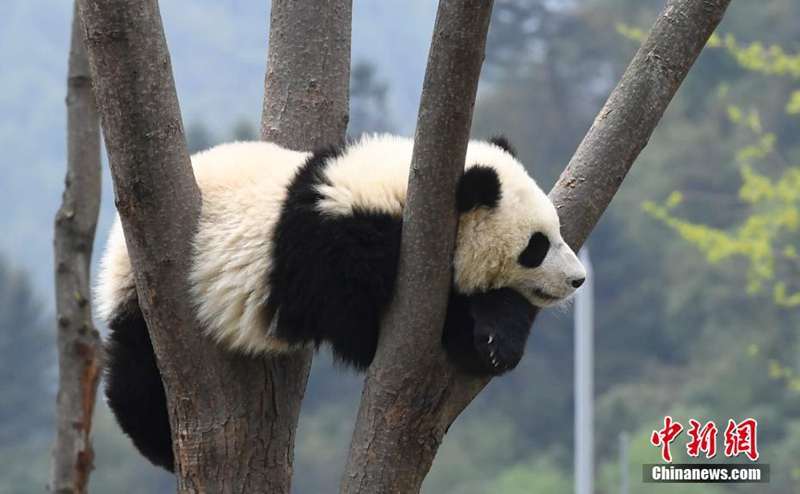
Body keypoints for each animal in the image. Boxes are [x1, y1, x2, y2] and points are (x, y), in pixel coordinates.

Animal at [96, 134, 586, 472]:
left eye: (559, 231)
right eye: (536, 246)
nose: (578, 279)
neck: (404, 194)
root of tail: (115, 245)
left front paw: (497, 338)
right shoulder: (333, 246)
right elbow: (360, 324)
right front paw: (467, 335)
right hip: (144, 294)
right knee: (136, 375)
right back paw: (161, 445)